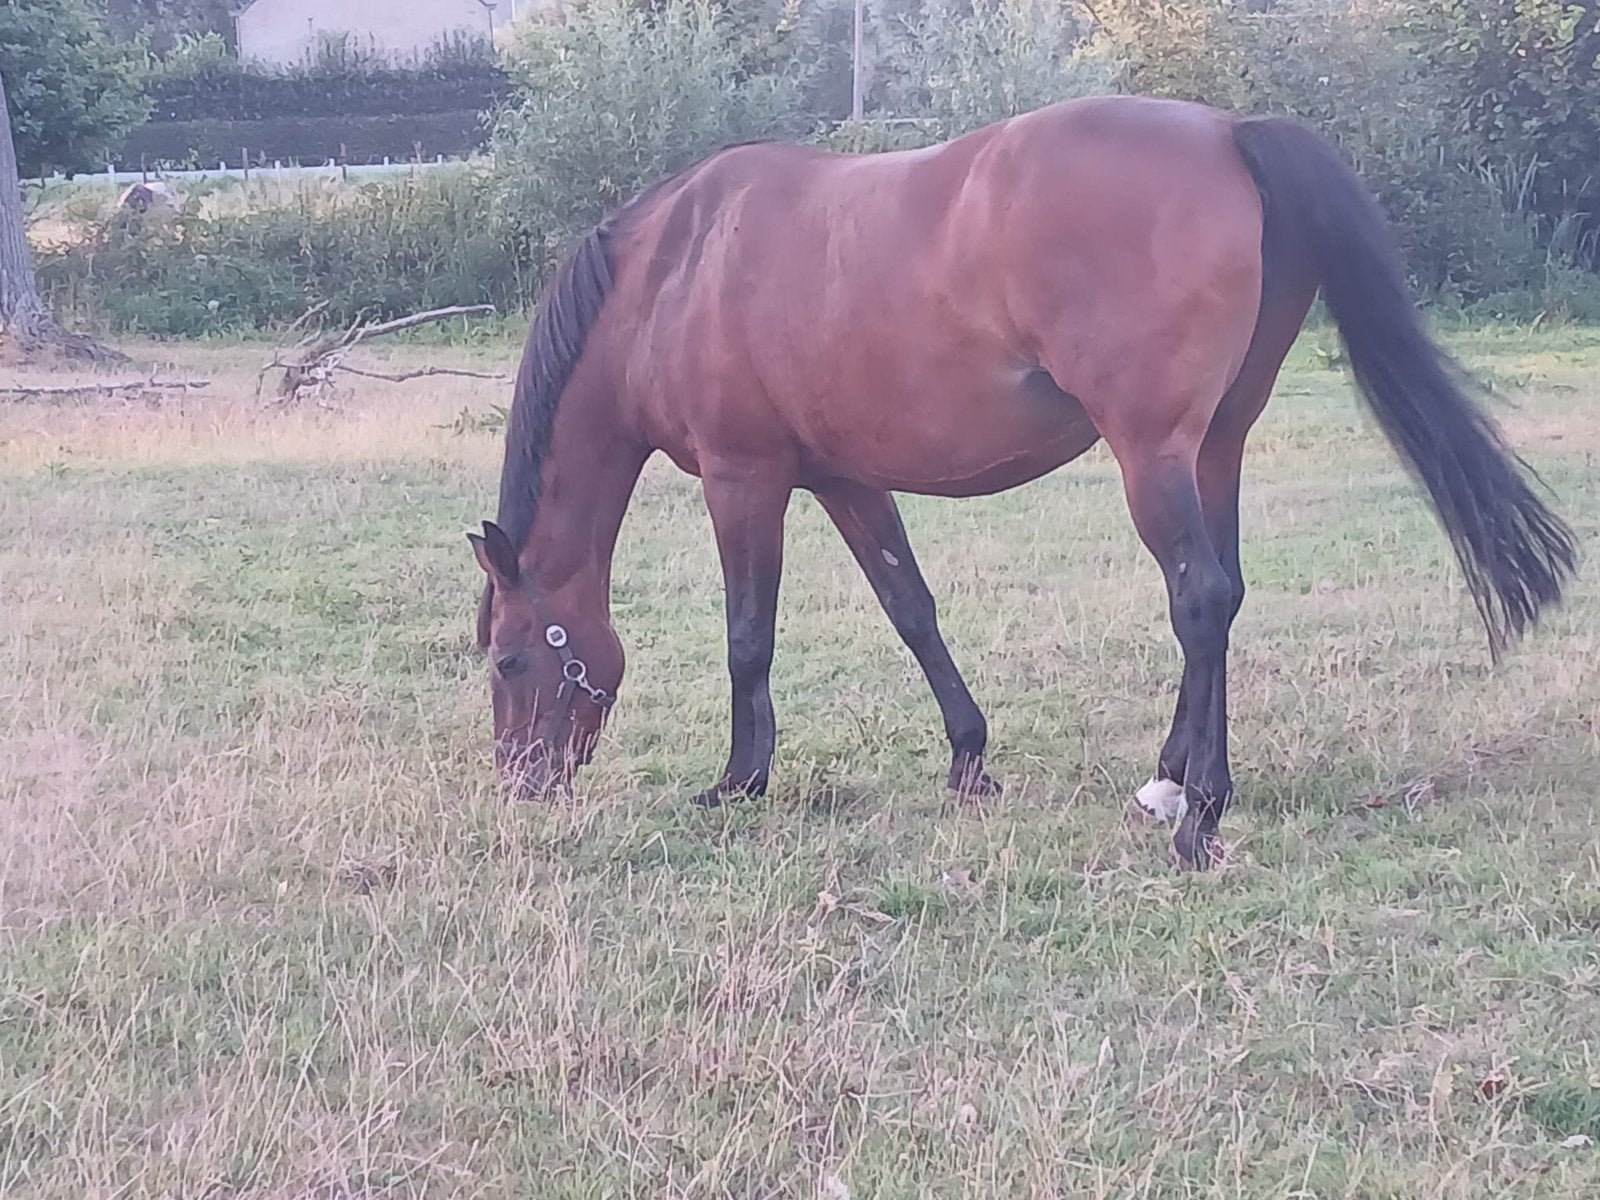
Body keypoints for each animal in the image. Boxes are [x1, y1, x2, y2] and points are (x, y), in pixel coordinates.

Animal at [468, 94, 1577, 868]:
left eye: (511, 662)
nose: (521, 788)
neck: (673, 272)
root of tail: (1228, 132)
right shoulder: (845, 481)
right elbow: (911, 610)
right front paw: (968, 758)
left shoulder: (747, 479)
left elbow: (748, 636)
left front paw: (740, 781)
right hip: (1213, 448)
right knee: (1219, 597)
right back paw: (1171, 784)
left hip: (1150, 452)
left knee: (1197, 596)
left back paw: (1197, 813)